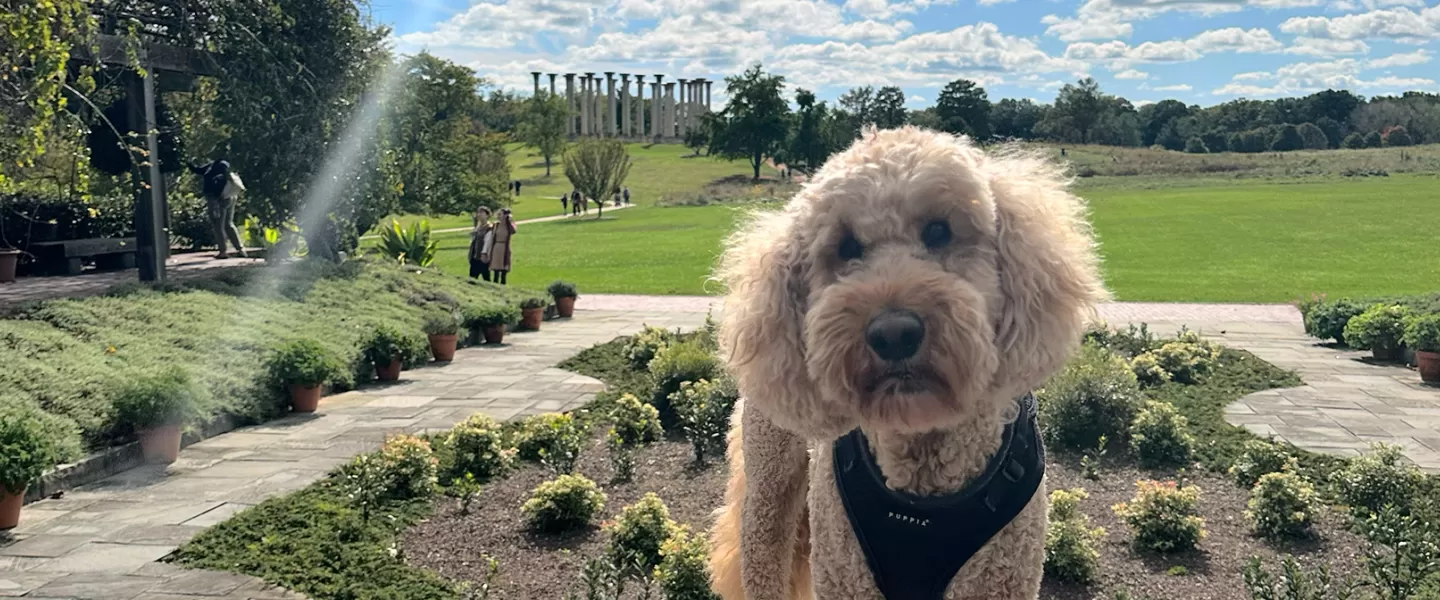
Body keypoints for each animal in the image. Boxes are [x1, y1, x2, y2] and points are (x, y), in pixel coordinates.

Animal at [705, 126, 1100, 598]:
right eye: (847, 247)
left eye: (939, 231)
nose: (893, 334)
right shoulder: (846, 574)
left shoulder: (1000, 578)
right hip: (770, 488)